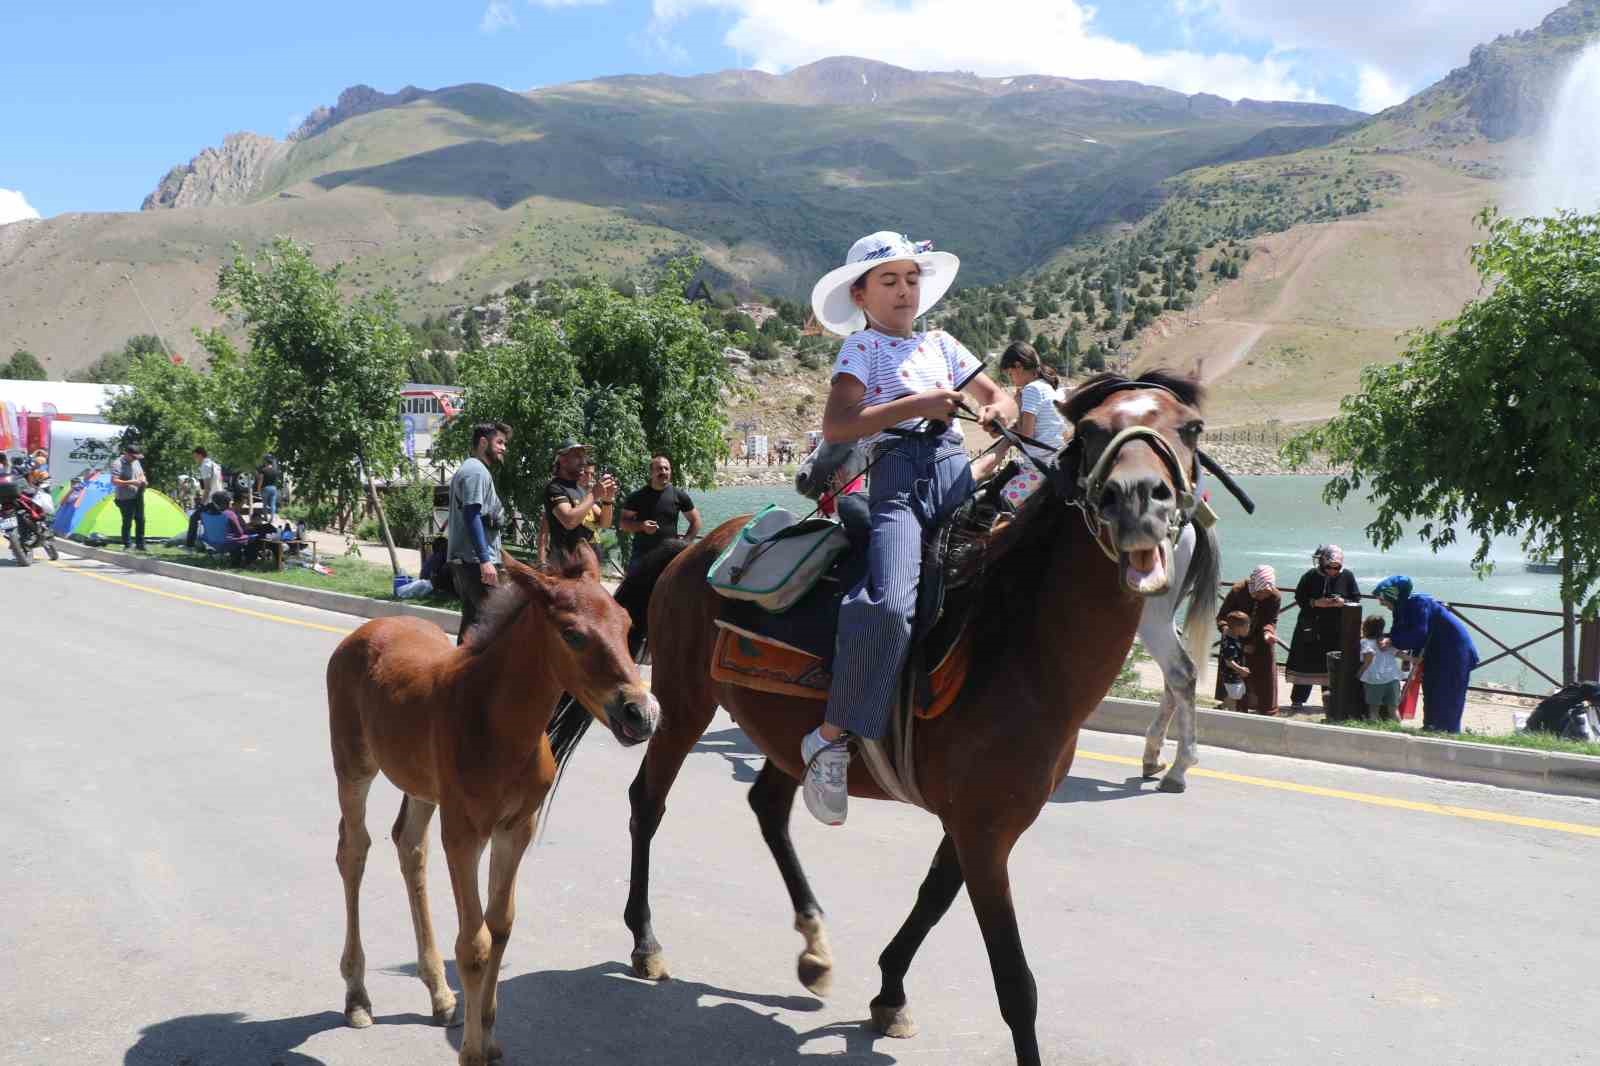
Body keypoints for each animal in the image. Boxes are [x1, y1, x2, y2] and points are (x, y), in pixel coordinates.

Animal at [324, 547, 656, 1062]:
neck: (501, 724)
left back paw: (440, 995)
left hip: (422, 787)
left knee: (409, 847)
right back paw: (357, 996)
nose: (641, 714)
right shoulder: (464, 832)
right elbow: (474, 942)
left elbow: (500, 927)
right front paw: (473, 1051)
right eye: (573, 635)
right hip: (353, 766)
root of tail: (366, 630)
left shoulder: (515, 827)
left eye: (625, 625)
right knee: (353, 849)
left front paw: (490, 1033)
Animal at [614, 368, 1209, 1062]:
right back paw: (646, 940)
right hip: (685, 704)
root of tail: (693, 547)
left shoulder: (977, 822)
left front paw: (889, 993)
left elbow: (933, 895)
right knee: (648, 801)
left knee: (767, 807)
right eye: (1089, 431)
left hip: (781, 733)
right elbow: (1015, 983)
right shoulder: (984, 830)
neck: (1014, 641)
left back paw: (814, 946)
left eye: (1190, 428)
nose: (1138, 500)